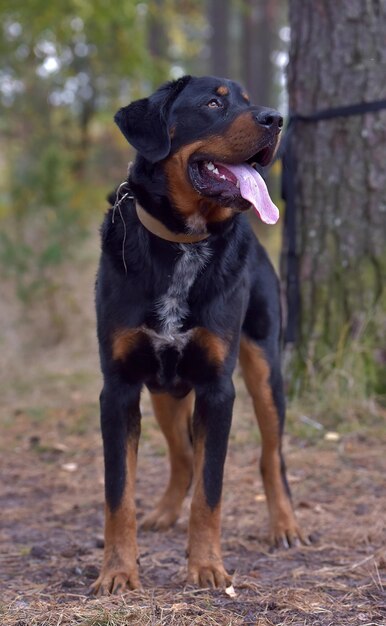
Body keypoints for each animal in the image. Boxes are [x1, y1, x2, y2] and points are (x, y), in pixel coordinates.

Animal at [91, 75, 308, 592]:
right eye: (213, 103)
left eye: (249, 102)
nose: (276, 118)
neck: (183, 244)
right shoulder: (119, 388)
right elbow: (118, 493)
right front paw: (117, 571)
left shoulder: (216, 388)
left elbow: (211, 491)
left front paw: (207, 566)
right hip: (164, 391)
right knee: (183, 455)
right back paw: (165, 513)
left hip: (265, 369)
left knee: (272, 456)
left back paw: (285, 525)